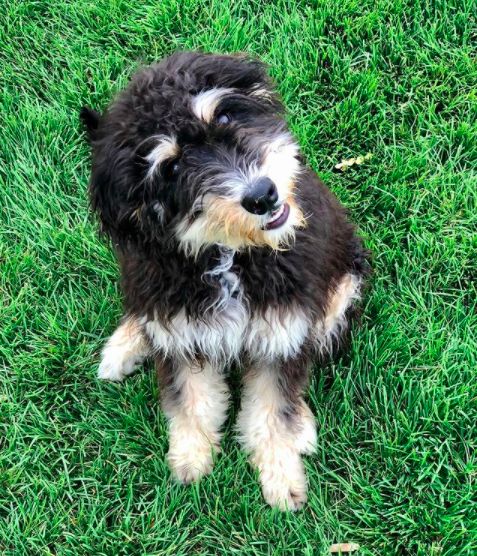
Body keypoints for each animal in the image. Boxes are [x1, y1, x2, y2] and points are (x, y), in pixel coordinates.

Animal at [80, 50, 368, 510]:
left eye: (226, 117)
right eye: (171, 167)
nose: (263, 195)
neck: (228, 256)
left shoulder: (283, 330)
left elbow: (273, 408)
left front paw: (282, 479)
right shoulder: (180, 327)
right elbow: (192, 400)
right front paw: (190, 459)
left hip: (344, 283)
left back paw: (303, 425)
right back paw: (123, 347)